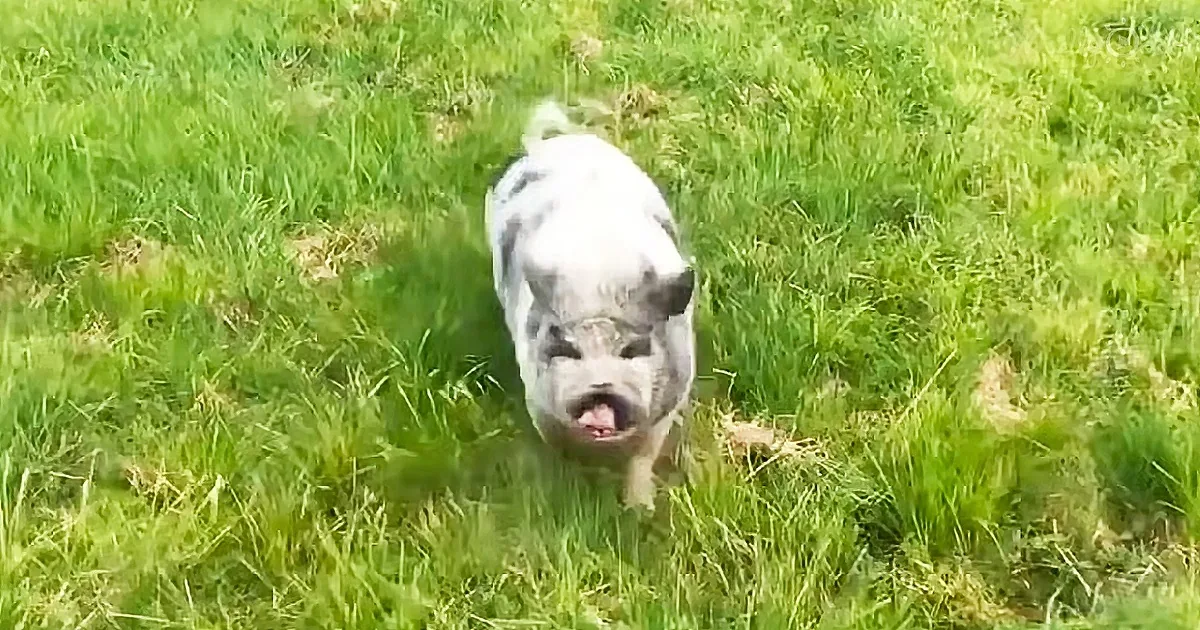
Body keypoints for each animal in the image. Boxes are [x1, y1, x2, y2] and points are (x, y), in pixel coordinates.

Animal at [485, 100, 697, 511]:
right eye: (567, 348)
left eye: (635, 349)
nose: (600, 387)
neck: (599, 290)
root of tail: (553, 145)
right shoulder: (538, 400)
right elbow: (559, 448)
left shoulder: (670, 401)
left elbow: (643, 456)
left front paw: (640, 511)